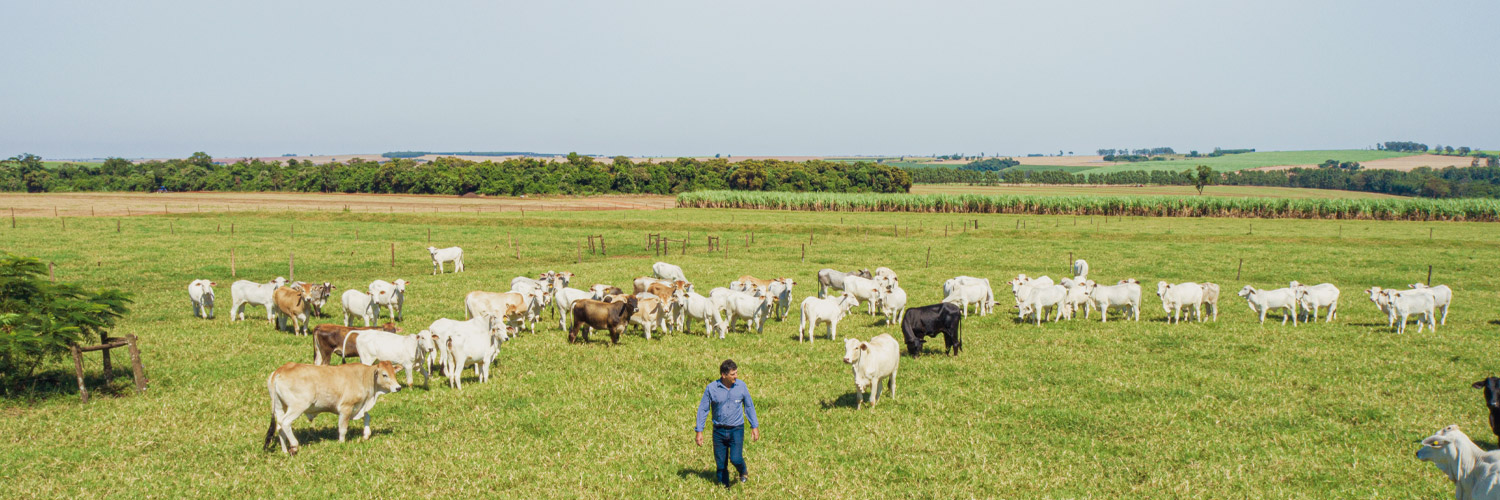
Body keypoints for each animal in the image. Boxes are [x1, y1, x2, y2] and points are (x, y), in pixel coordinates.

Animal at [264, 358, 405, 456]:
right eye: (384, 374)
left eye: (394, 373)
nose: (398, 387)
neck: (364, 378)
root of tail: (280, 370)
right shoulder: (346, 407)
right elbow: (343, 428)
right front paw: (341, 443)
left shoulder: (359, 407)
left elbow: (367, 416)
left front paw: (366, 434)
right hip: (297, 406)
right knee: (285, 422)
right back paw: (294, 446)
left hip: (280, 406)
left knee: (279, 426)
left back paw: (284, 450)